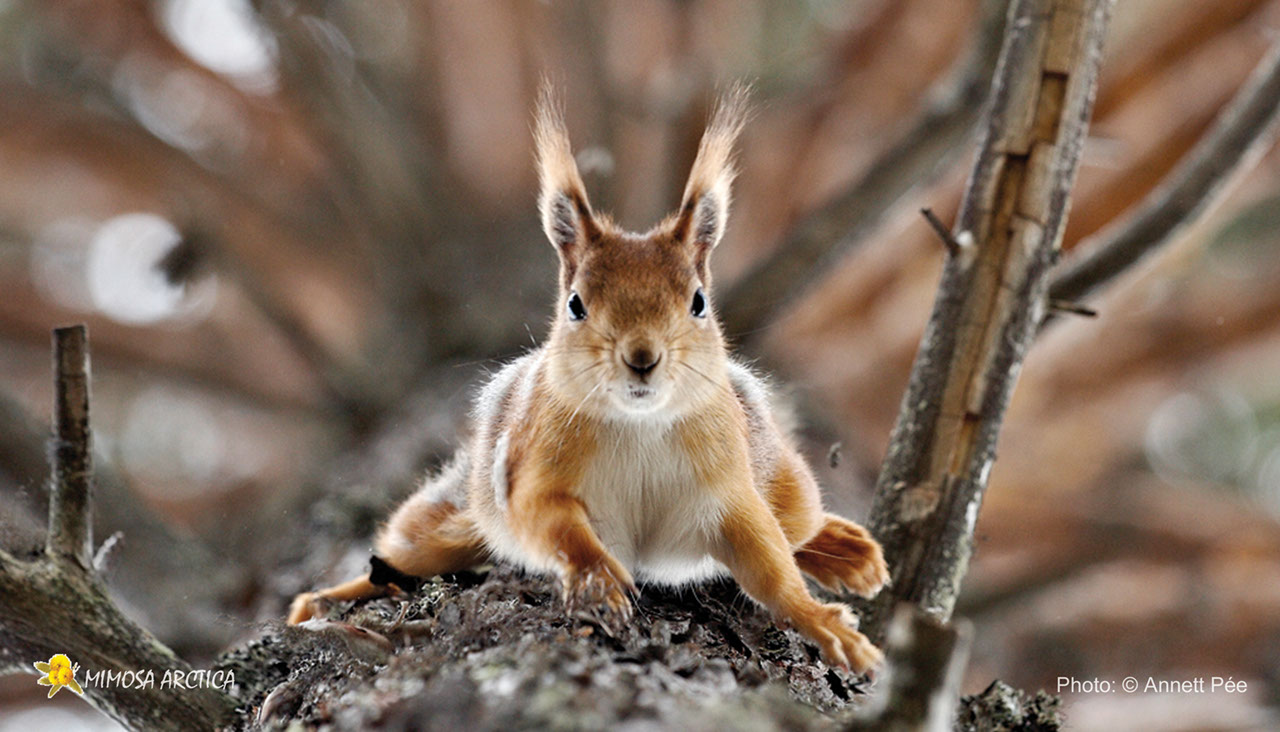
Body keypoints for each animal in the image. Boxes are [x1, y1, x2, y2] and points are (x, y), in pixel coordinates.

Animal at [288, 85, 890, 672]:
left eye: (698, 302)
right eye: (576, 305)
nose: (641, 357)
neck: (640, 423)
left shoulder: (729, 491)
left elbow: (769, 567)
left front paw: (825, 625)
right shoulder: (532, 469)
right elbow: (553, 521)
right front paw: (598, 576)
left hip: (787, 486)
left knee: (795, 530)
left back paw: (846, 551)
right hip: (456, 518)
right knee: (407, 554)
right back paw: (326, 599)